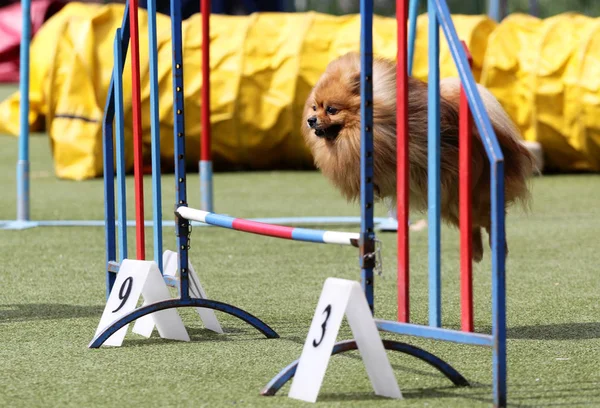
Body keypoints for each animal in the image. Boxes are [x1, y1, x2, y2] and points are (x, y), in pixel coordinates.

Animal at [300, 52, 536, 262]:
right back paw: (476, 253)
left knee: (490, 221)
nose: (311, 120)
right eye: (314, 107)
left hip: (471, 196)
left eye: (331, 109)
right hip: (450, 204)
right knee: (473, 225)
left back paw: (499, 248)